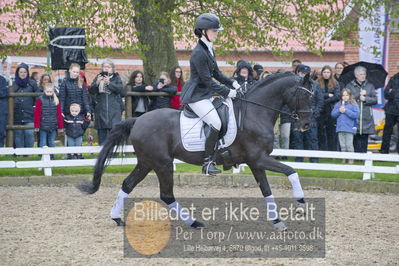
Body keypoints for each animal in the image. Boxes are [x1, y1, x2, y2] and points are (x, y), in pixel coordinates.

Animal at [78, 72, 314, 231]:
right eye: (304, 96)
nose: (306, 125)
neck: (255, 112)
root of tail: (138, 120)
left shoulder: (256, 162)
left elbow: (266, 190)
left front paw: (277, 221)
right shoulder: (258, 158)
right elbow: (291, 171)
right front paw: (300, 205)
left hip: (146, 162)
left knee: (128, 184)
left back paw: (117, 218)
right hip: (162, 163)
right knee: (166, 194)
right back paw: (194, 222)